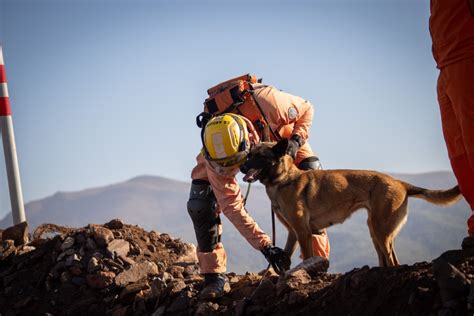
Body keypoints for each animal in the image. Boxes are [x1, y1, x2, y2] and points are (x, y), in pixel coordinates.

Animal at [239, 139, 462, 266]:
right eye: (249, 155)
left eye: (259, 156)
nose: (242, 167)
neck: (284, 179)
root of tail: (400, 183)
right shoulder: (293, 232)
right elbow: (285, 257)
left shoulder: (302, 231)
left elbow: (309, 256)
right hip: (375, 230)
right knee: (388, 260)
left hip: (381, 231)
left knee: (392, 261)